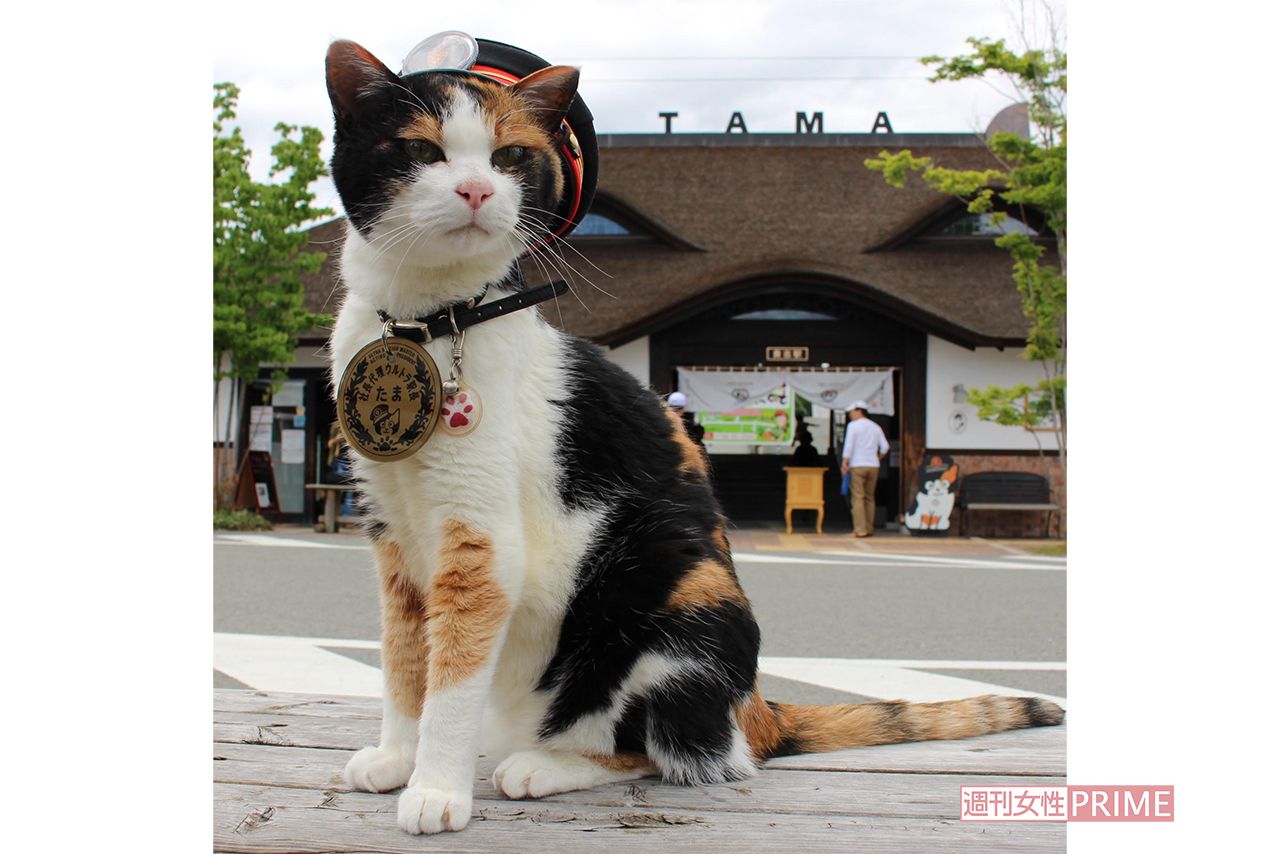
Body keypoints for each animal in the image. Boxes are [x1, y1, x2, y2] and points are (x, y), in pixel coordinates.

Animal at [325, 38, 1064, 834]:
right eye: (422, 150)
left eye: (509, 156)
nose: (474, 191)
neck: (421, 322)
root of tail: (758, 708)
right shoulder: (393, 534)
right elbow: (407, 661)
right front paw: (396, 759)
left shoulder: (481, 541)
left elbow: (453, 676)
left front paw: (435, 790)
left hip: (680, 590)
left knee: (669, 750)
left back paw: (544, 765)